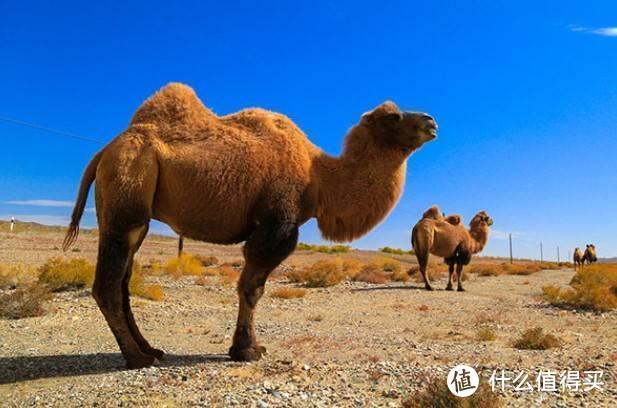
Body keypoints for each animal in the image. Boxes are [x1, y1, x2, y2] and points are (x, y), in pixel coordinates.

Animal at [62, 83, 438, 370]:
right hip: (127, 195)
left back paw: (151, 349)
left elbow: (251, 287)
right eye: (393, 116)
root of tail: (104, 152)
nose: (431, 120)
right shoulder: (276, 224)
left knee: (123, 283)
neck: (318, 176)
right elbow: (251, 288)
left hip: (134, 215)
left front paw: (245, 347)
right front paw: (247, 349)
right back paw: (137, 358)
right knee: (108, 285)